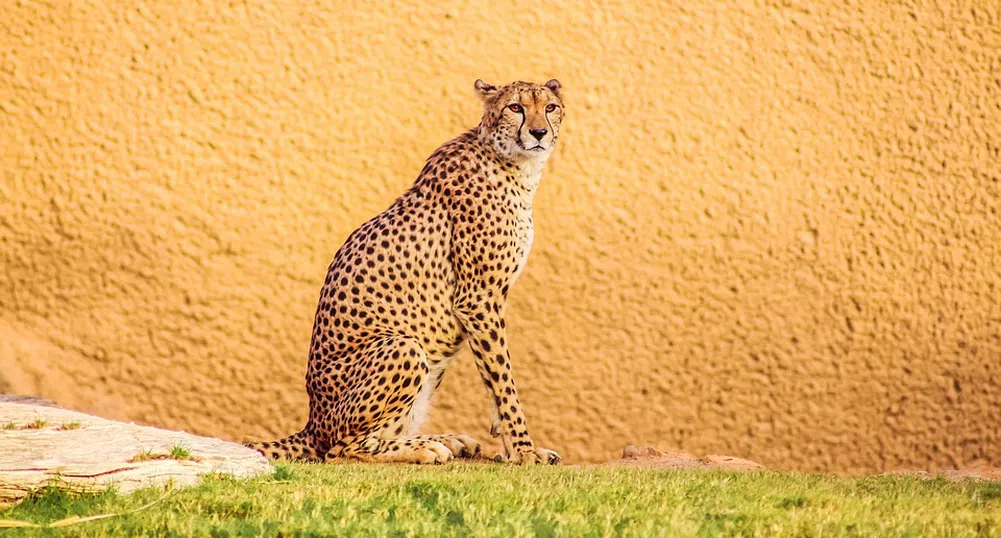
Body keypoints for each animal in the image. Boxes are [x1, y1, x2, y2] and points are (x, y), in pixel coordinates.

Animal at [245, 77, 564, 462]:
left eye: (550, 107)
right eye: (515, 107)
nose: (539, 132)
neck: (513, 163)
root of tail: (312, 422)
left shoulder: (481, 303)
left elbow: (493, 380)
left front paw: (510, 447)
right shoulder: (478, 299)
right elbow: (504, 382)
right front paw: (525, 451)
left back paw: (448, 441)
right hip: (405, 347)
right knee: (341, 450)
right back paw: (426, 448)